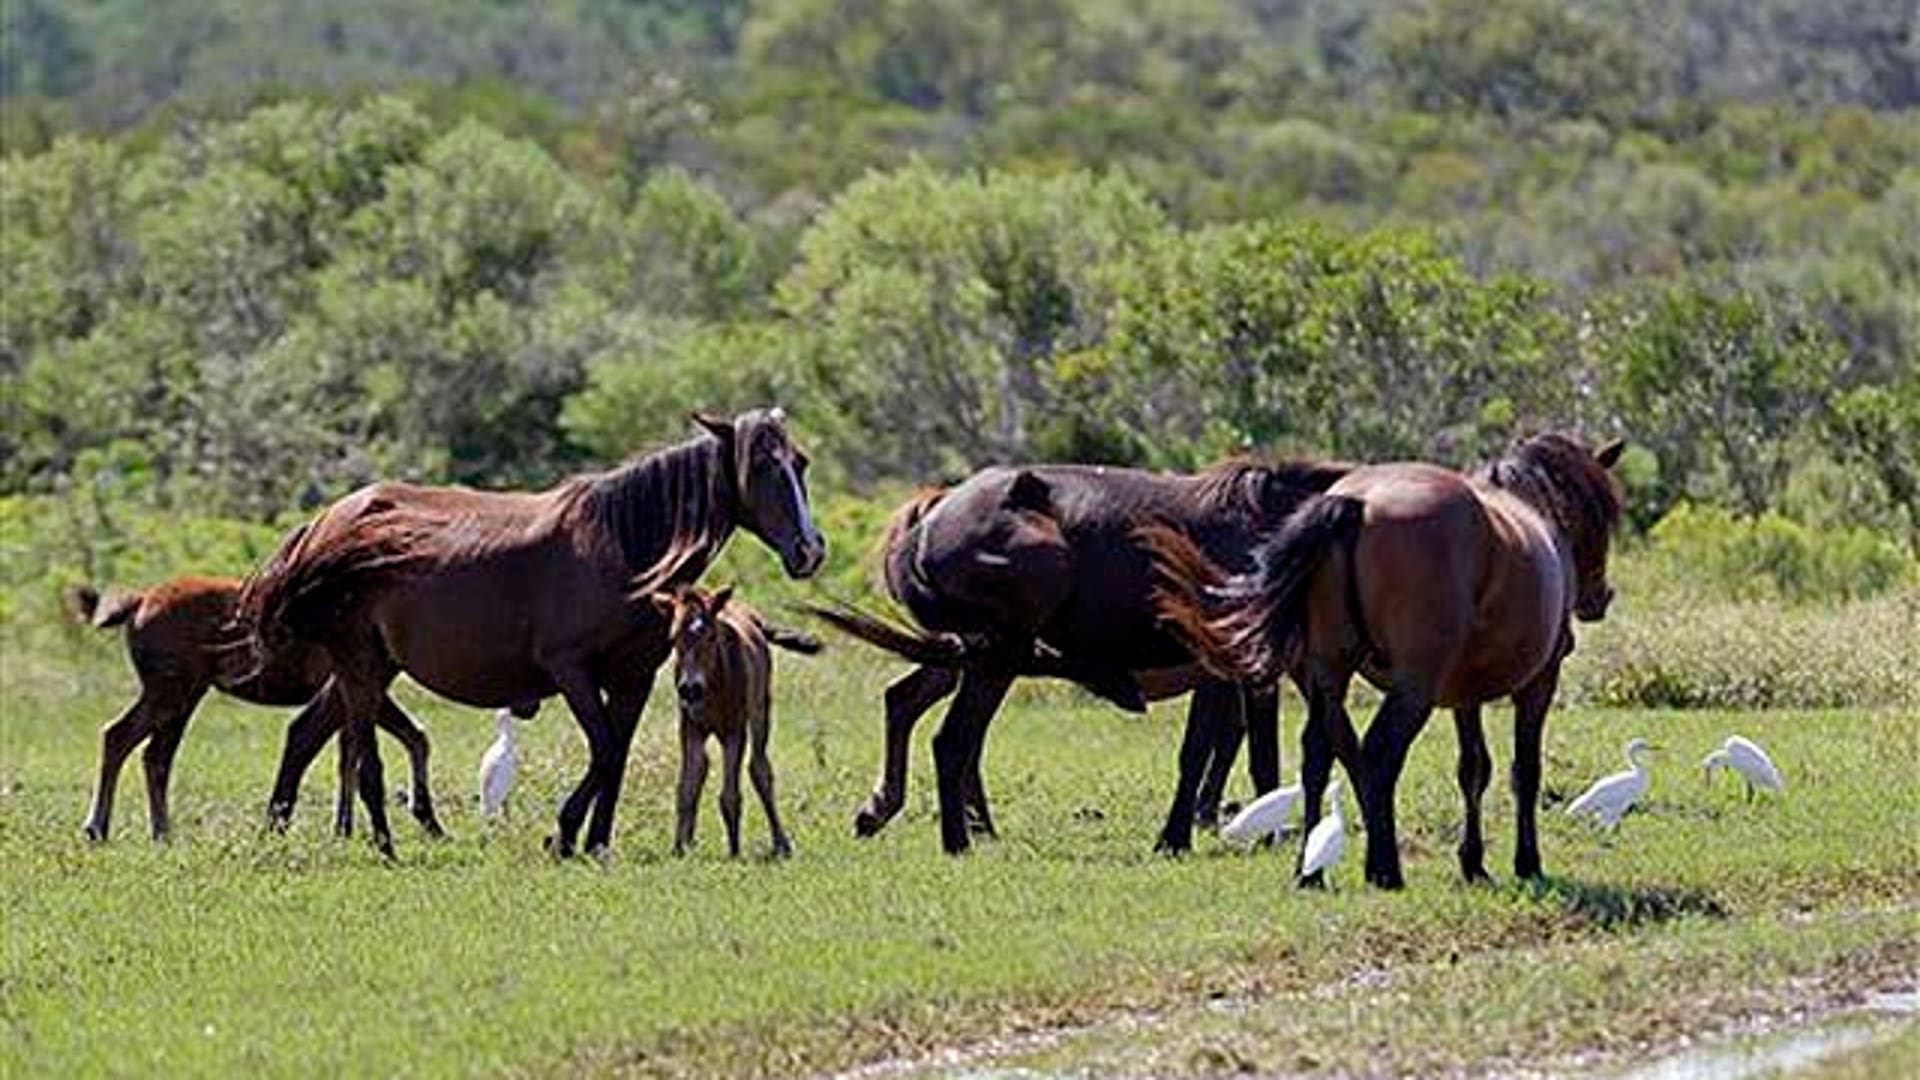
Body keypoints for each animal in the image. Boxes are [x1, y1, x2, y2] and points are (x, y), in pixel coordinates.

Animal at [69, 577, 443, 842]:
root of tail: (140, 602)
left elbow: (350, 756)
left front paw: (344, 829)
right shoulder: (353, 685)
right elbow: (415, 736)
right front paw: (421, 816)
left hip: (184, 695)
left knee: (154, 755)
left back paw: (161, 832)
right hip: (170, 691)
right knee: (120, 736)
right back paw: (98, 828)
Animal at [653, 584, 820, 858]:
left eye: (711, 636)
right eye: (673, 637)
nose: (690, 689)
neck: (713, 685)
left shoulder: (734, 730)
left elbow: (730, 795)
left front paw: (734, 850)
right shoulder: (691, 729)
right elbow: (686, 788)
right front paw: (678, 847)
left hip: (761, 710)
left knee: (760, 769)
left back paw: (780, 844)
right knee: (704, 768)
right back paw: (690, 839)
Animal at [805, 458, 1352, 855]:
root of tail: (928, 522)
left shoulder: (1253, 674)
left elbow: (1256, 754)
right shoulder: (1225, 672)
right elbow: (1206, 751)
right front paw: (1178, 837)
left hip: (968, 656)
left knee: (912, 706)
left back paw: (900, 813)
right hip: (996, 655)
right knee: (954, 740)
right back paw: (958, 840)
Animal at [1150, 433, 1624, 888]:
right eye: (1599, 516)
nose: (1599, 598)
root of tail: (1356, 503)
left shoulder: (1464, 696)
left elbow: (1474, 769)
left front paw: (1473, 862)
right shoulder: (1539, 683)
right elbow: (1524, 771)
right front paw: (1527, 862)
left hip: (1330, 673)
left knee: (1317, 753)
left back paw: (1310, 872)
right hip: (1413, 689)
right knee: (1379, 755)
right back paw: (1384, 868)